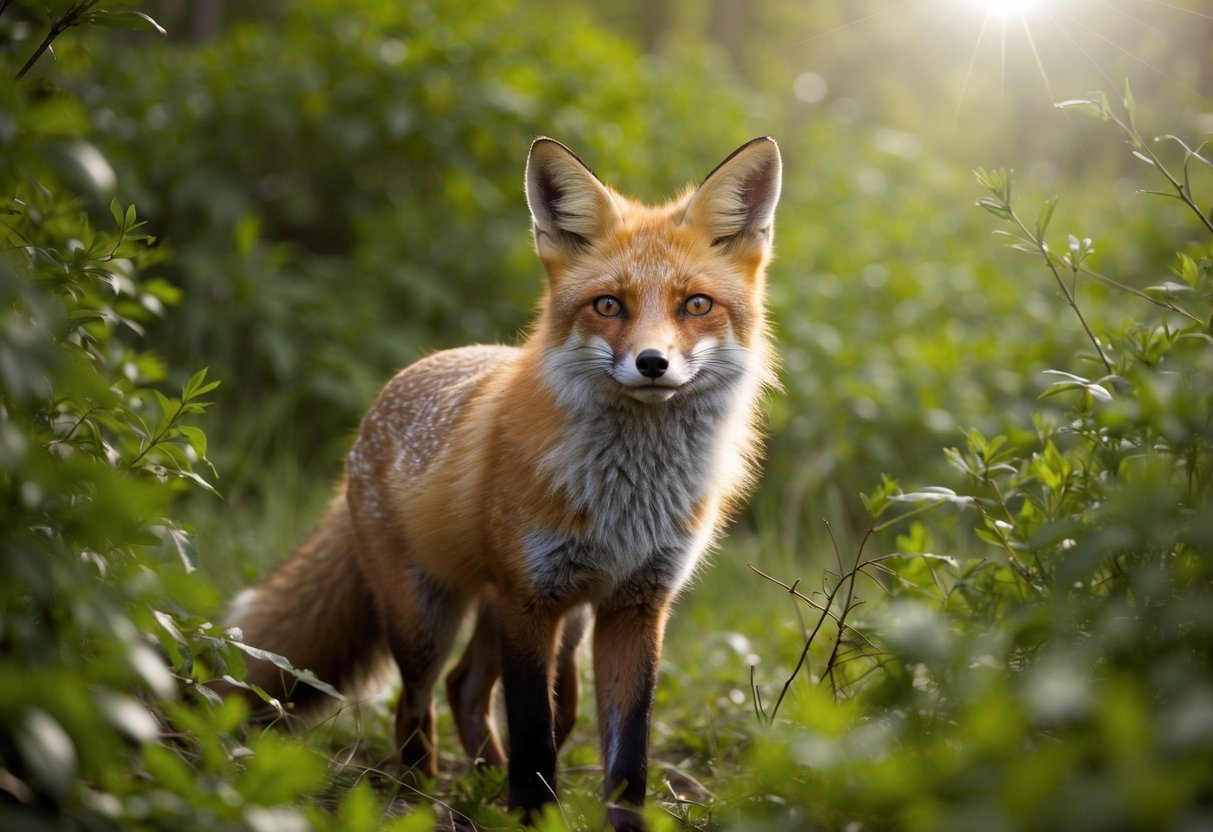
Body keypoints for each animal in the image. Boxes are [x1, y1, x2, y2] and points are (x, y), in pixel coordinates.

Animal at [225, 136, 781, 830]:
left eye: (696, 305)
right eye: (609, 305)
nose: (652, 363)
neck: (628, 499)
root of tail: (390, 393)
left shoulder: (636, 606)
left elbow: (628, 755)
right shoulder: (530, 601)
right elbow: (534, 735)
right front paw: (533, 816)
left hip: (549, 626)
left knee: (470, 690)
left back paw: (484, 785)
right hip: (430, 617)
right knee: (419, 705)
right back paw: (422, 798)